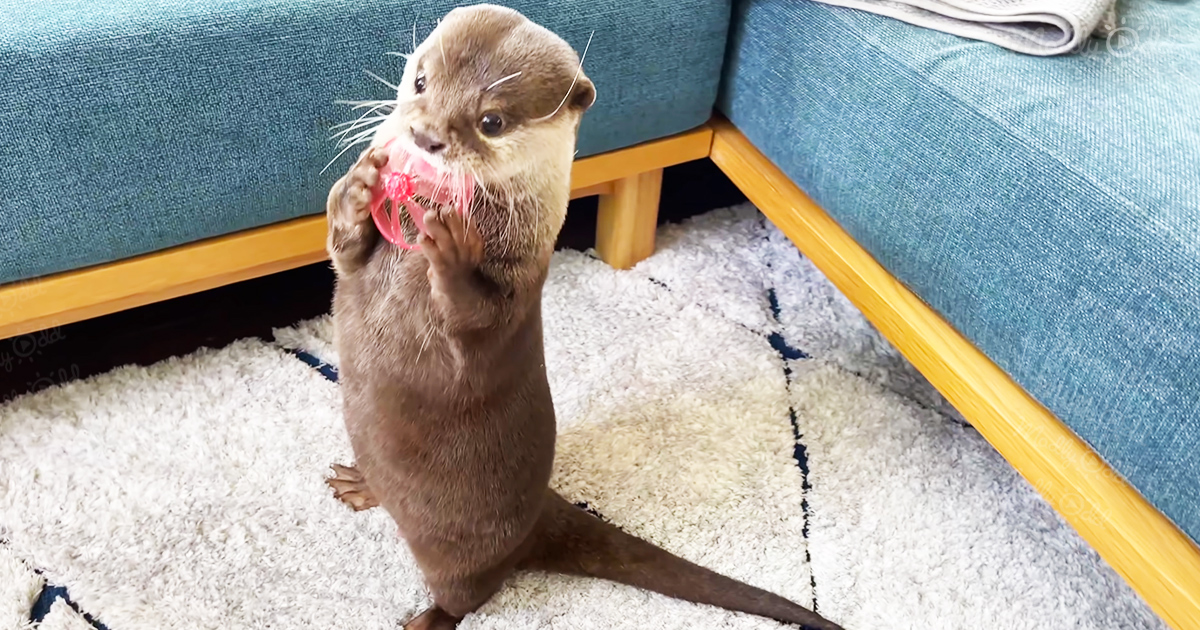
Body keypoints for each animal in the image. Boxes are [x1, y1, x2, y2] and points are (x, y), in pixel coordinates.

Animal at [322, 5, 845, 630]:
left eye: (491, 120)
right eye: (421, 81)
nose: (424, 137)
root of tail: (535, 518)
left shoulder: (517, 293)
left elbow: (478, 319)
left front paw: (451, 250)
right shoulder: (359, 262)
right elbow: (344, 251)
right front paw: (356, 187)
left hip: (461, 549)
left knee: (470, 593)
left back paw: (427, 618)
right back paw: (362, 484)